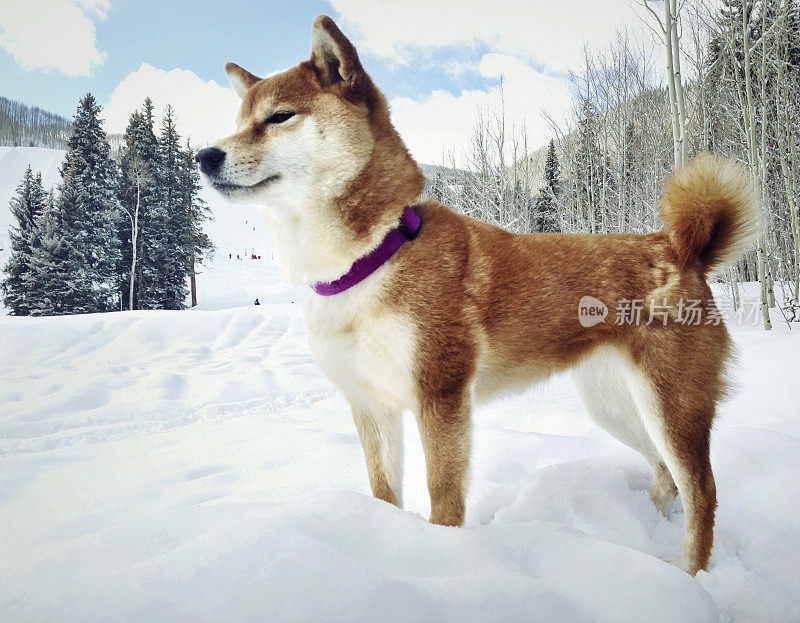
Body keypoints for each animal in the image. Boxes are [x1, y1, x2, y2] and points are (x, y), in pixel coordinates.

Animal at [197, 13, 760, 576]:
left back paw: (689, 573)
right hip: (615, 405)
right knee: (665, 474)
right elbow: (384, 492)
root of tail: (682, 249)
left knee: (702, 491)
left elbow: (444, 498)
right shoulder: (371, 405)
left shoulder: (440, 396)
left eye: (279, 116)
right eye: (240, 120)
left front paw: (443, 558)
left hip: (671, 405)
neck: (371, 257)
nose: (203, 155)